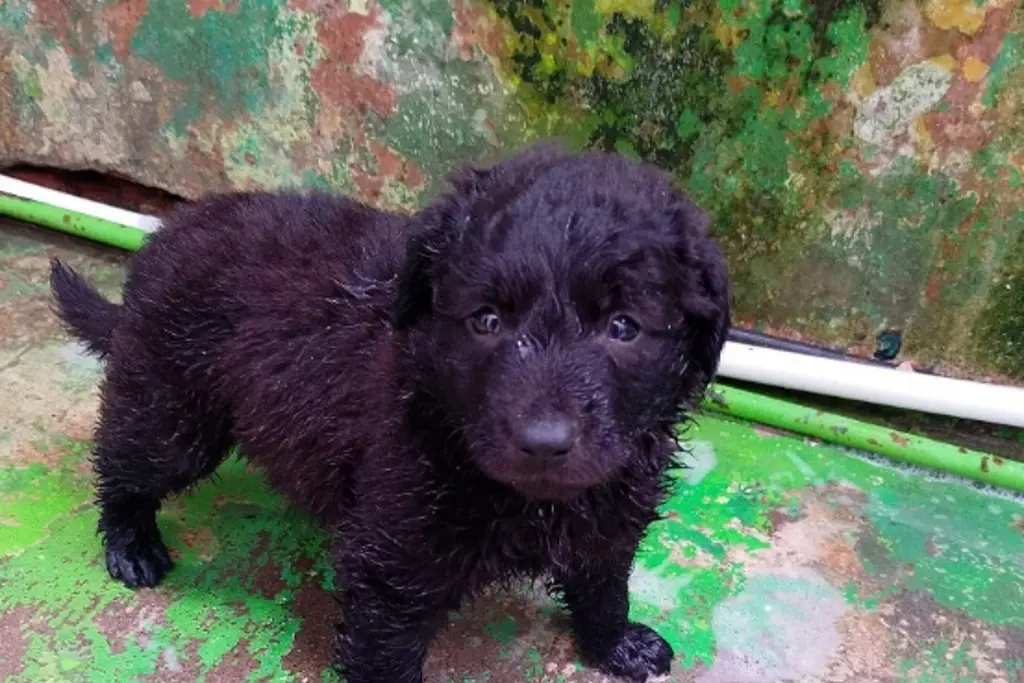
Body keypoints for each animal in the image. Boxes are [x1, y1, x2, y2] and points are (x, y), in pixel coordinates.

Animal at [51, 141, 733, 679]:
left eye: (624, 327)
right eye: (487, 320)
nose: (543, 442)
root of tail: (166, 231)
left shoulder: (611, 511)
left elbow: (603, 585)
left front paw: (615, 646)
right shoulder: (393, 558)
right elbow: (385, 653)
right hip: (173, 410)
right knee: (124, 461)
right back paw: (130, 542)